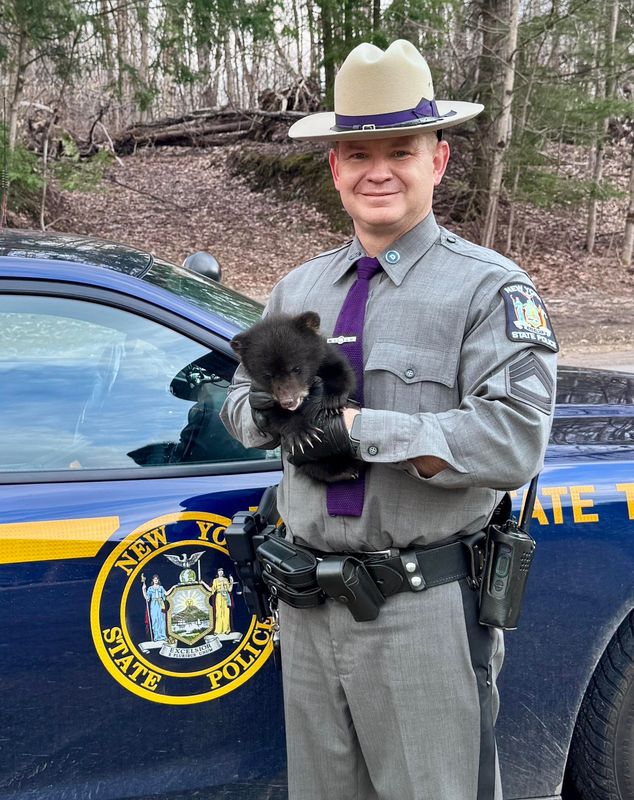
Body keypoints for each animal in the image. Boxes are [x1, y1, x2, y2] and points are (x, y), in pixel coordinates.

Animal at [230, 311, 360, 483]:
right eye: (268, 375)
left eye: (296, 368)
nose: (288, 401)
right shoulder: (262, 395)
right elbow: (272, 413)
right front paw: (303, 433)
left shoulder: (326, 354)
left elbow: (340, 369)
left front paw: (332, 401)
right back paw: (345, 471)